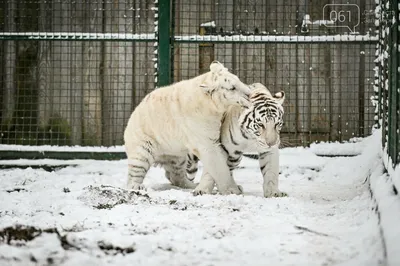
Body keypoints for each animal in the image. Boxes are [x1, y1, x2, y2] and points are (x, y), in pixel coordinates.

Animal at [123, 60, 252, 195]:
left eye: (238, 80)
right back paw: (137, 186)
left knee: (175, 174)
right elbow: (218, 165)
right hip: (143, 147)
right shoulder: (204, 140)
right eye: (232, 88)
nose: (249, 94)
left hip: (177, 156)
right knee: (135, 172)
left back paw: (190, 184)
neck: (213, 106)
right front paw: (233, 190)